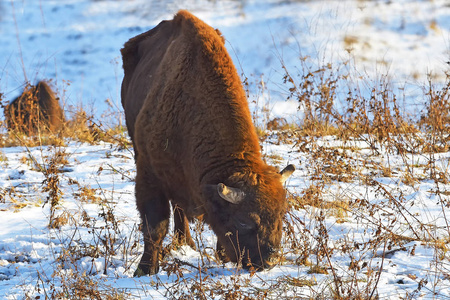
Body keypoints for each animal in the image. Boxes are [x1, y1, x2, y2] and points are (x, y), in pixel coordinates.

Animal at [120, 9, 296, 276]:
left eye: (280, 214)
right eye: (244, 221)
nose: (269, 260)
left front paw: (222, 255)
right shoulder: (149, 174)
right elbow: (154, 226)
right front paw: (145, 270)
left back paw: (185, 243)